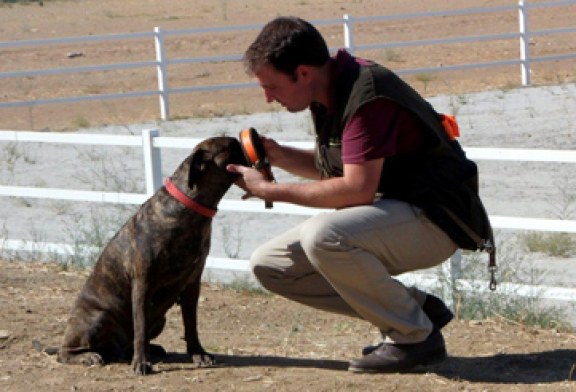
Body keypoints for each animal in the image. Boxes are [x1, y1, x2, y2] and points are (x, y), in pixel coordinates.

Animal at [55, 136, 248, 376]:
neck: (189, 207)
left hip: (159, 319)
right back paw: (89, 356)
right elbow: (140, 327)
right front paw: (141, 363)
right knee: (65, 352)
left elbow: (191, 324)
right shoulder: (142, 284)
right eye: (231, 146)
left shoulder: (192, 284)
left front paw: (198, 353)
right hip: (97, 318)